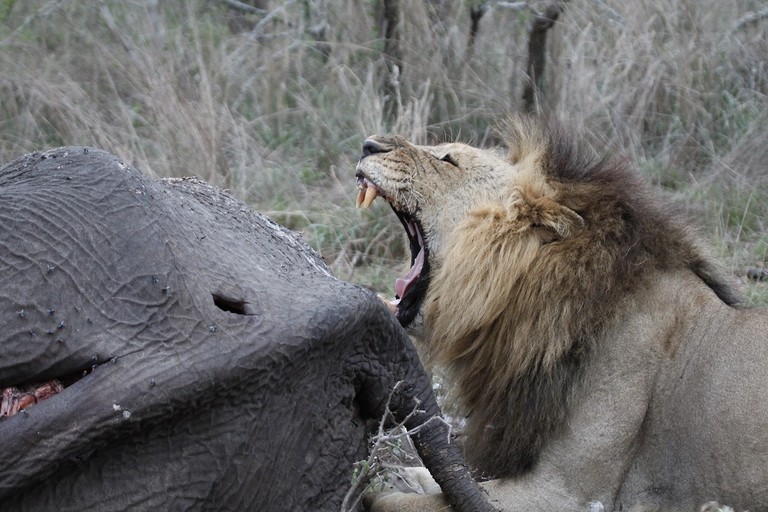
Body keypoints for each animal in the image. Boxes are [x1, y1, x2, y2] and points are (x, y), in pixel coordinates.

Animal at [354, 115, 768, 511]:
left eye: (448, 159)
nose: (367, 144)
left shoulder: (566, 493)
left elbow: (409, 503)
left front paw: (379, 488)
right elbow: (434, 480)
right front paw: (396, 473)